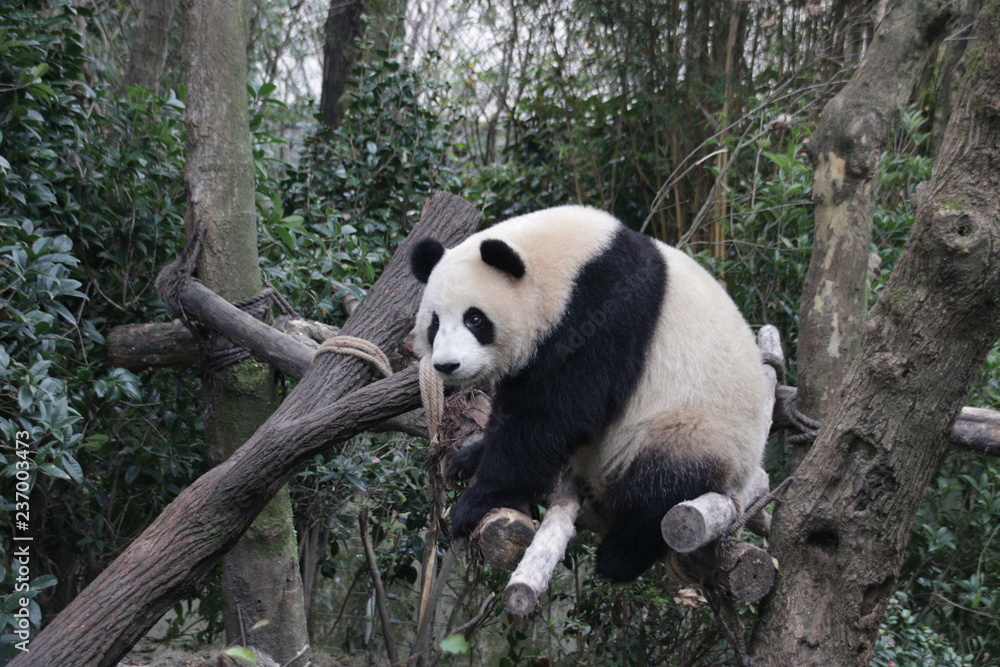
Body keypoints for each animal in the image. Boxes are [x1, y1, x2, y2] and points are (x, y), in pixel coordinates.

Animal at [410, 205, 769, 582]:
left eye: (475, 319)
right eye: (434, 323)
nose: (447, 365)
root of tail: (741, 482)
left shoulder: (604, 310)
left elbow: (558, 413)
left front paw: (476, 502)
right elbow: (517, 410)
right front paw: (467, 459)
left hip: (695, 428)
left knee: (663, 483)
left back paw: (619, 557)